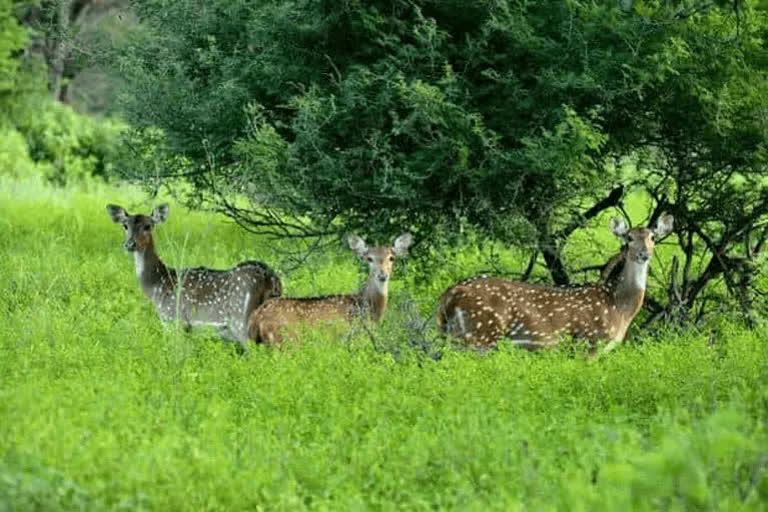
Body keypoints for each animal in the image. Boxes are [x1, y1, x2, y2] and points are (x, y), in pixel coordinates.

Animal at [106, 202, 284, 342]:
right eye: (125, 226)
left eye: (147, 226)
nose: (130, 244)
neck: (157, 285)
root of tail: (269, 278)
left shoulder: (175, 319)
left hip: (241, 320)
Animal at [249, 234, 412, 346]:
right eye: (369, 258)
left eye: (391, 258)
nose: (382, 275)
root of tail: (257, 317)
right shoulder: (355, 339)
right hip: (286, 340)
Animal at [438, 215, 672, 352]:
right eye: (629, 238)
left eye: (652, 237)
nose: (644, 254)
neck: (619, 309)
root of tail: (448, 294)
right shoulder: (589, 342)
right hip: (478, 334)